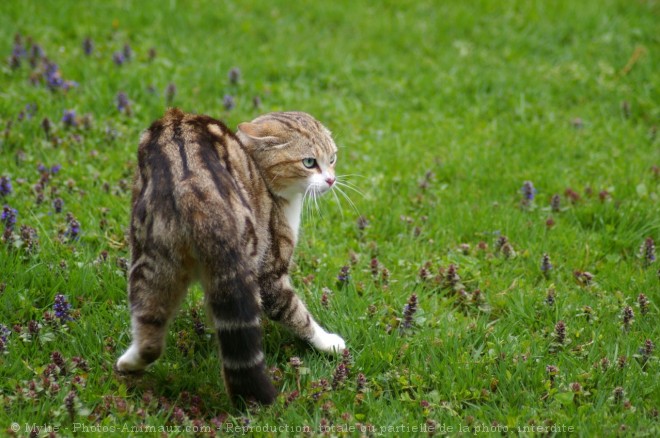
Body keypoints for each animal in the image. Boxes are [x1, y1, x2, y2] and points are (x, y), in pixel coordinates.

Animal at [114, 108, 346, 406]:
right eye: (309, 162)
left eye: (332, 159)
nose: (331, 180)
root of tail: (194, 186)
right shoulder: (270, 270)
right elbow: (295, 313)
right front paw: (329, 342)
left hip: (153, 261)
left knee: (150, 332)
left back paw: (128, 364)